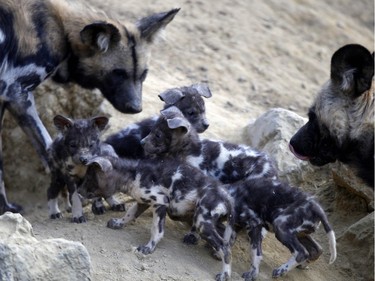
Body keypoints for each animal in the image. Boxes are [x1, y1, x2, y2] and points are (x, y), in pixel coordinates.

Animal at [0, 0, 180, 213]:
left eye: (143, 74)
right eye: (118, 73)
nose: (136, 108)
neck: (62, 31)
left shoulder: (7, 97)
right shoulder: (16, 93)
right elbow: (48, 148)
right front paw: (72, 200)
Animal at [78, 155, 236, 280]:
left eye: (90, 178)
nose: (78, 192)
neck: (133, 174)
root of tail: (226, 196)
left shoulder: (160, 203)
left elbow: (156, 231)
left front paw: (149, 247)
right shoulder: (142, 202)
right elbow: (129, 214)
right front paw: (118, 223)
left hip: (201, 221)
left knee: (225, 247)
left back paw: (224, 274)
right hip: (209, 221)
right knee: (228, 237)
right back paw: (215, 253)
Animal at [140, 106, 338, 278]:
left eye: (157, 135)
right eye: (151, 131)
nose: (141, 142)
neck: (190, 149)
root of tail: (272, 167)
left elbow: (199, 221)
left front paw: (193, 235)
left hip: (276, 220)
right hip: (291, 226)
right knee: (315, 248)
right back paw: (303, 263)